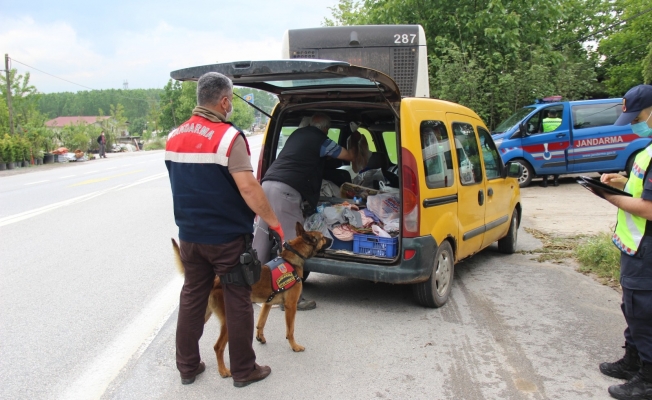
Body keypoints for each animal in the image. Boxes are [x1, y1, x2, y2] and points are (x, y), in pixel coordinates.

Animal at [171, 222, 334, 378]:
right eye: (322, 237)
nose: (332, 239)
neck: (292, 258)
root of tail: (215, 281)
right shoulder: (291, 306)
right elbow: (290, 330)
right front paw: (294, 346)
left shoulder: (267, 304)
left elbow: (261, 322)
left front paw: (260, 337)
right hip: (227, 321)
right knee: (218, 347)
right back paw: (223, 370)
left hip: (204, 314)